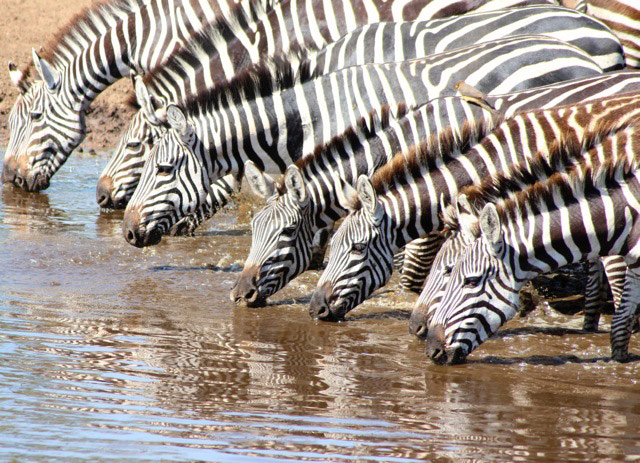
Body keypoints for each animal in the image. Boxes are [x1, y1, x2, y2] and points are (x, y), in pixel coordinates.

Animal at [424, 123, 640, 364]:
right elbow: (619, 327)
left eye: (471, 281)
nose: (432, 350)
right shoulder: (635, 268)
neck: (624, 217)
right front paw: (618, 363)